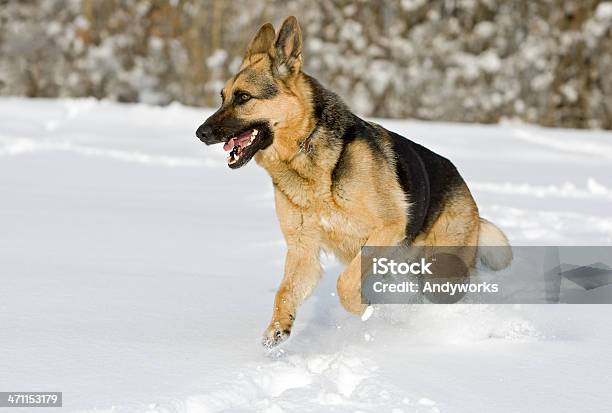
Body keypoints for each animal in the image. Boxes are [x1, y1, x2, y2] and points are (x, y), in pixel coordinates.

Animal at [196, 16, 512, 348]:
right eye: (222, 97)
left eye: (243, 97)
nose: (200, 133)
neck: (306, 151)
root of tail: (465, 190)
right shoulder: (303, 251)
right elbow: (286, 291)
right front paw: (278, 328)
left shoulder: (387, 229)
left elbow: (345, 283)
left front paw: (366, 308)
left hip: (442, 271)